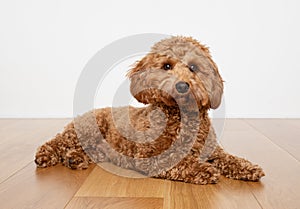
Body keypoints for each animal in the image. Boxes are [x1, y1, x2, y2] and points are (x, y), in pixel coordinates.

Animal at [35, 36, 264, 185]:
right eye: (167, 66)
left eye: (193, 68)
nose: (182, 86)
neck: (180, 118)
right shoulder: (151, 157)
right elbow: (178, 162)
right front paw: (203, 169)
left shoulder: (212, 150)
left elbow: (230, 158)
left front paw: (248, 167)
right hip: (84, 131)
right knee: (56, 142)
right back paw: (45, 155)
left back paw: (74, 158)